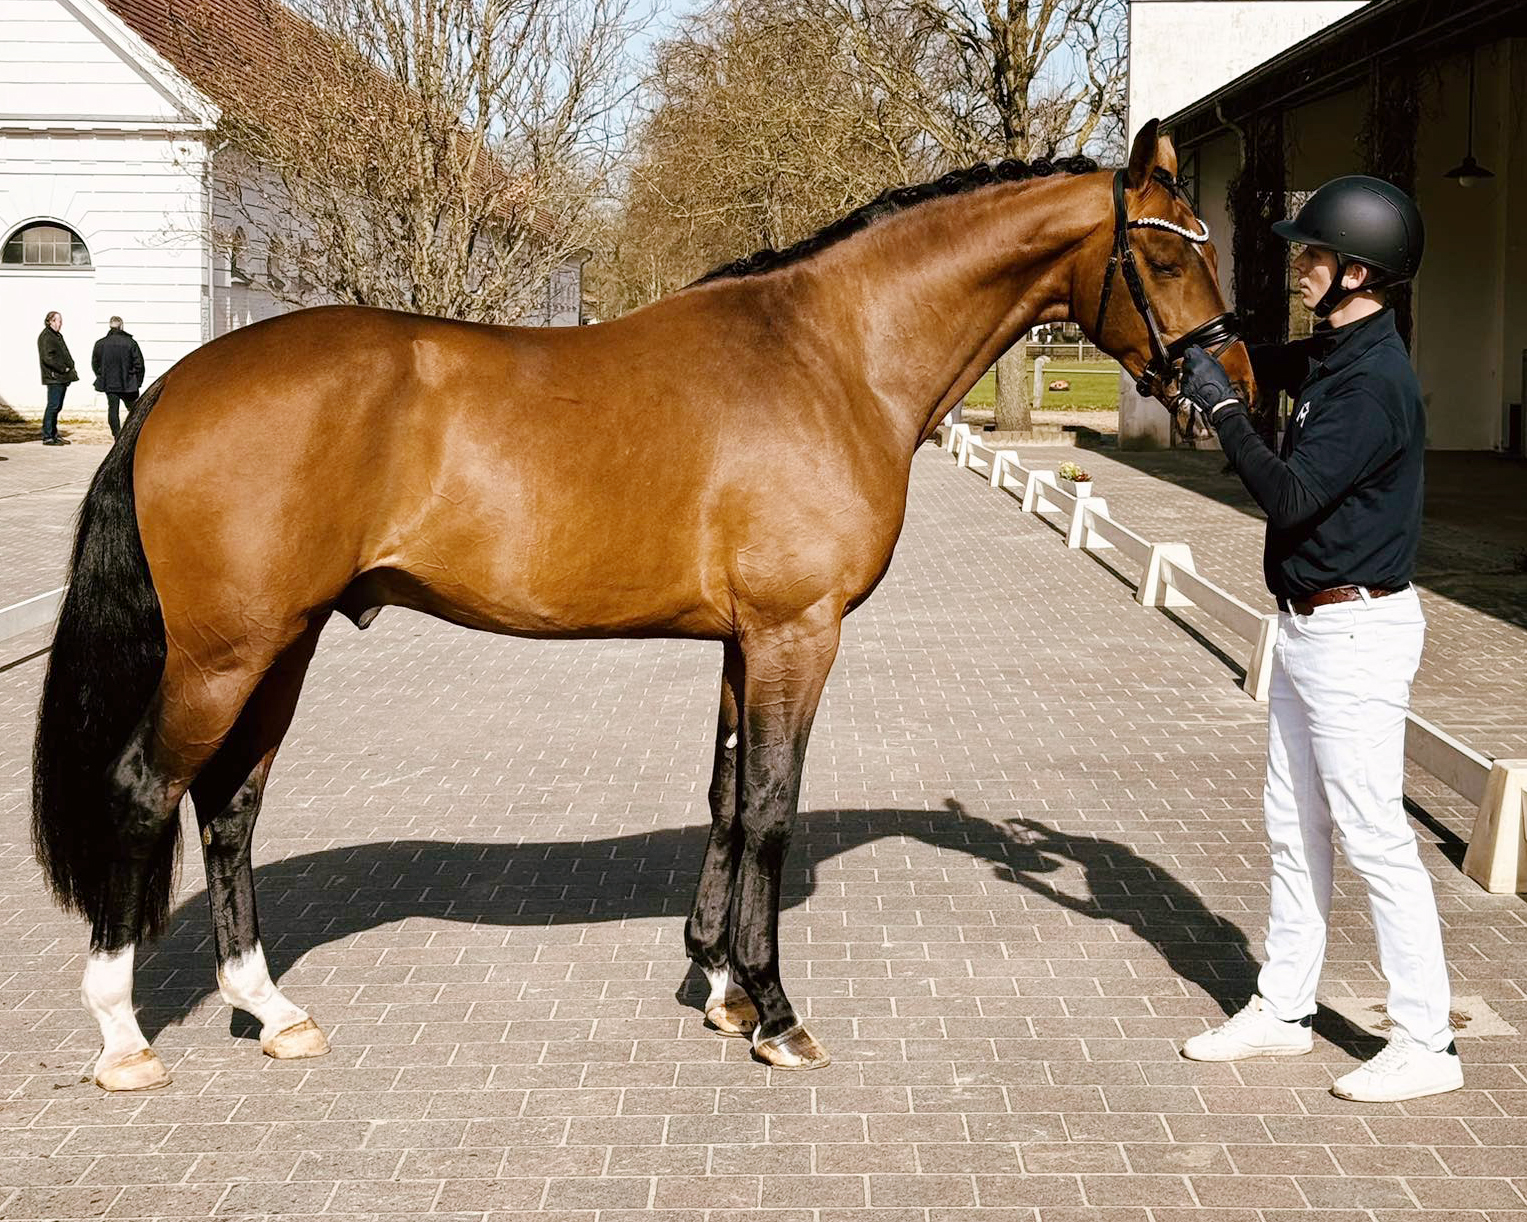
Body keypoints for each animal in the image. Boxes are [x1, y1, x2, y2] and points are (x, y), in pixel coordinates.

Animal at [35, 121, 1252, 1087]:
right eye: (1159, 251)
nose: (1226, 385)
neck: (831, 355)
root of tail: (173, 386)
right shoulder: (798, 633)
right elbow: (771, 806)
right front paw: (775, 1013)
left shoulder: (744, 640)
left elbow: (725, 796)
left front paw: (716, 985)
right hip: (225, 654)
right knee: (147, 790)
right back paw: (123, 1037)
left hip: (280, 647)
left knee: (230, 804)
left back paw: (272, 1009)